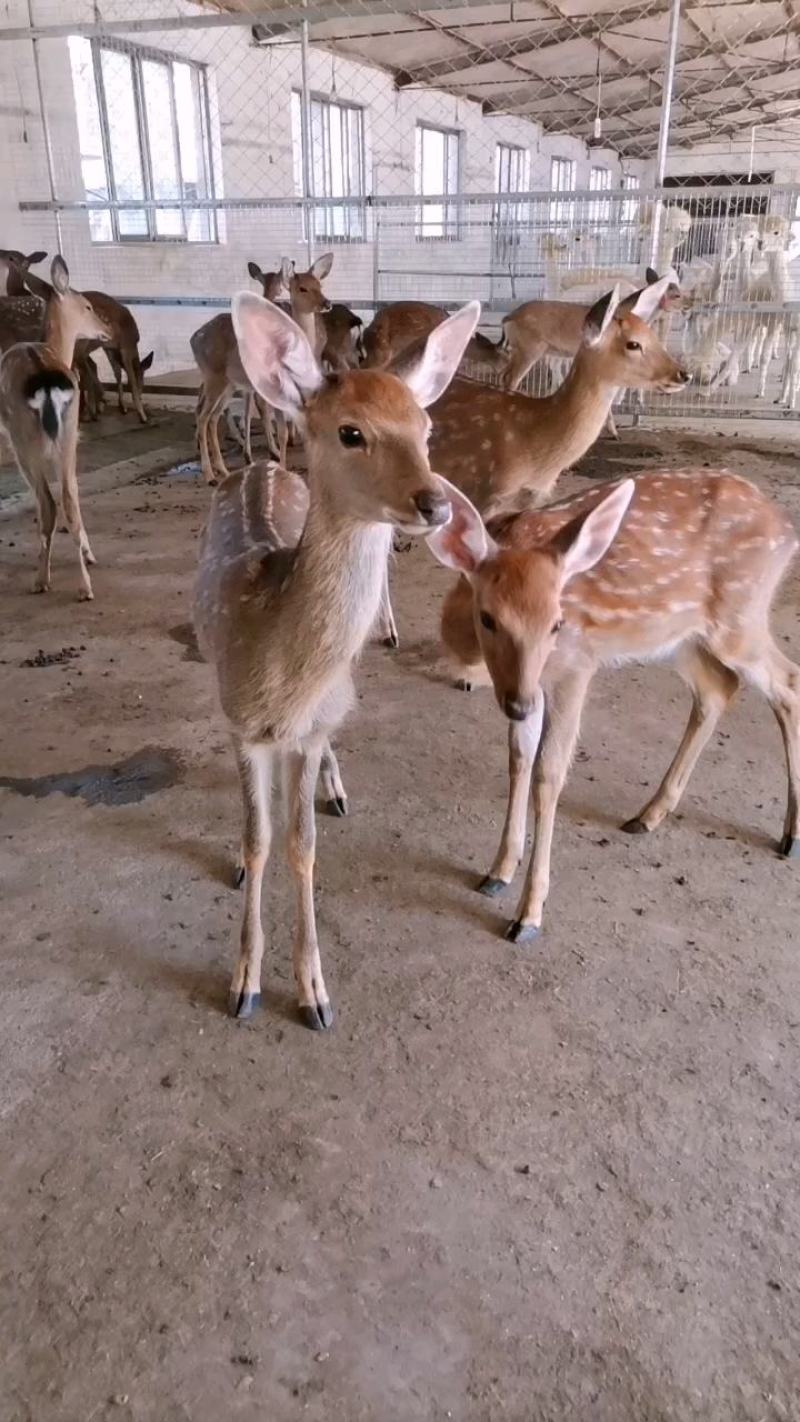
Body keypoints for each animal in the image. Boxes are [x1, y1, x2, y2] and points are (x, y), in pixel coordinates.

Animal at [0, 255, 112, 598]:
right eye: (87, 306)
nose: (107, 329)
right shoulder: (71, 436)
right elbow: (72, 489)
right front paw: (89, 553)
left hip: (25, 438)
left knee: (48, 502)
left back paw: (42, 579)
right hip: (67, 431)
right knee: (68, 498)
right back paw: (85, 584)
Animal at [194, 293, 479, 1029]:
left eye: (425, 426)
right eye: (351, 432)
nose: (435, 502)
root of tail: (265, 467)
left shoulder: (309, 727)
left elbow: (304, 846)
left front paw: (314, 992)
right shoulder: (242, 724)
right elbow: (260, 839)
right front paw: (243, 984)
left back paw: (335, 786)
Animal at [426, 469, 799, 944]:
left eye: (557, 623)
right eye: (489, 617)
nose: (518, 704)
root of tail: (786, 528)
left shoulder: (574, 666)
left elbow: (548, 774)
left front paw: (528, 915)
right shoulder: (532, 684)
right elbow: (519, 758)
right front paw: (497, 871)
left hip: (740, 618)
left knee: (787, 682)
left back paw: (791, 836)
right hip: (680, 636)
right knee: (718, 688)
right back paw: (648, 815)